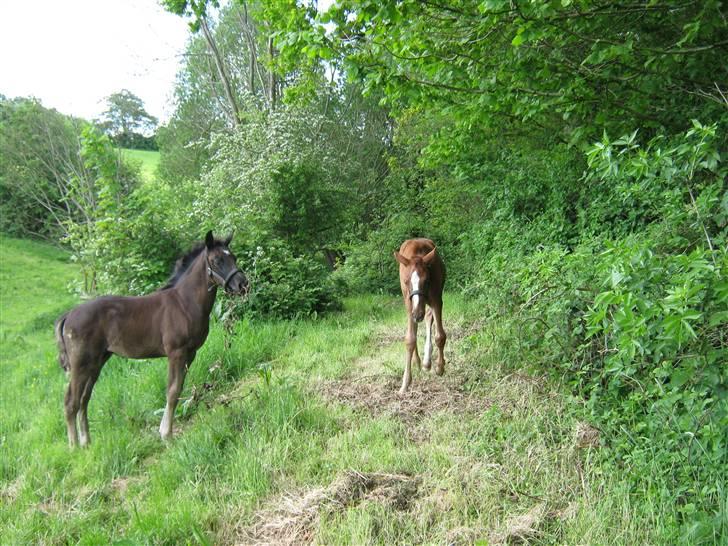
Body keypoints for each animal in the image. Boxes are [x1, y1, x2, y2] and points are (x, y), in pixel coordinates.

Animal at [53, 231, 247, 446]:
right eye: (216, 260)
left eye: (234, 257)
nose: (242, 284)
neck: (184, 303)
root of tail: (68, 315)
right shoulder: (176, 353)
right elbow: (172, 391)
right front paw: (167, 435)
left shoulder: (190, 354)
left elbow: (178, 388)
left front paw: (163, 430)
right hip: (80, 364)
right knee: (71, 402)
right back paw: (74, 447)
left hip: (96, 363)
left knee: (84, 399)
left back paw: (86, 443)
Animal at [396, 237, 446, 392]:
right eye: (406, 281)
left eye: (427, 281)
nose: (417, 314)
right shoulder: (409, 302)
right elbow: (410, 339)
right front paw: (405, 383)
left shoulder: (437, 300)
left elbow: (440, 336)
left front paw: (440, 367)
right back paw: (418, 362)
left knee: (428, 318)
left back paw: (426, 361)